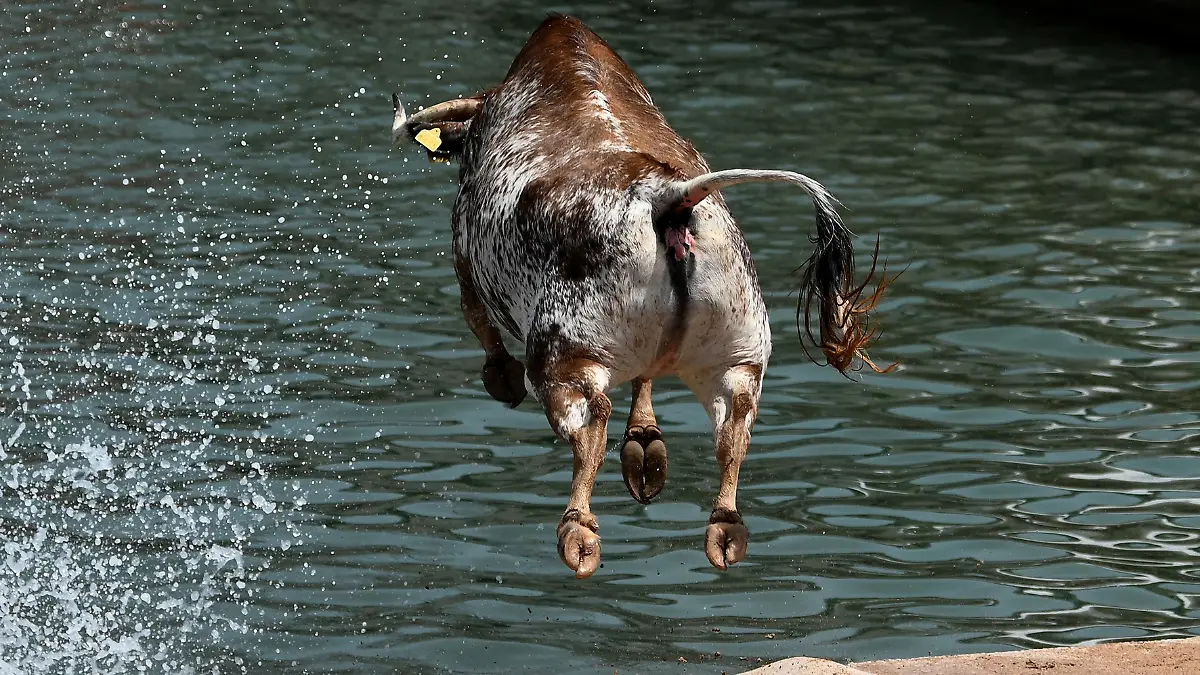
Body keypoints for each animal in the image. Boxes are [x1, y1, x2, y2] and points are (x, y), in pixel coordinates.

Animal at [388, 14, 888, 578]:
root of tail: (667, 197)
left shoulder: (464, 256)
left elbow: (479, 321)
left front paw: (501, 378)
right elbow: (647, 380)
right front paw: (646, 442)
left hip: (562, 352)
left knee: (591, 420)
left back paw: (580, 532)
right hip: (739, 351)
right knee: (734, 426)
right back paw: (720, 525)